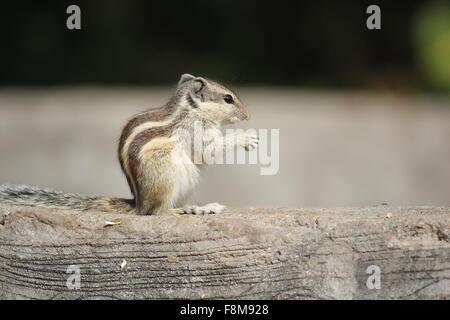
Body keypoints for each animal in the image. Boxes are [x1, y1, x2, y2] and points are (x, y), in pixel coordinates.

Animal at [0, 74, 258, 215]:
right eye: (228, 98)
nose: (248, 115)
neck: (191, 110)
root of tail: (139, 203)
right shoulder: (193, 132)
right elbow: (206, 152)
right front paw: (245, 138)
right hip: (165, 171)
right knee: (157, 212)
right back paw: (191, 209)